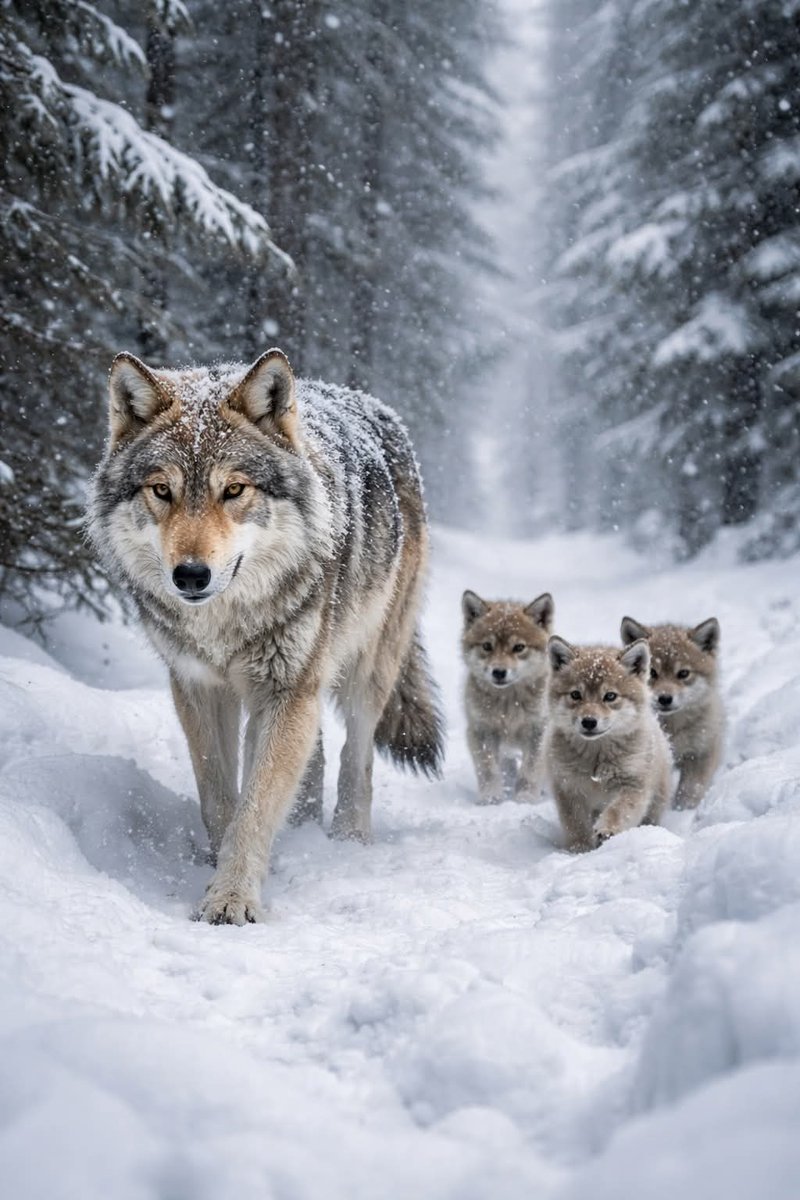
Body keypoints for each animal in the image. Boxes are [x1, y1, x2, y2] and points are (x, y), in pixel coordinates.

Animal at [89, 348, 443, 924]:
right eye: (162, 490)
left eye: (233, 489)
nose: (191, 576)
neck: (223, 627)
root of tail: (374, 405)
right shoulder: (198, 688)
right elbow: (218, 796)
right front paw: (219, 868)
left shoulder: (284, 690)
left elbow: (255, 806)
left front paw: (231, 899)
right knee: (316, 755)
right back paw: (299, 831)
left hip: (366, 666)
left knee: (357, 756)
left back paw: (347, 840)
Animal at [461, 591, 554, 804]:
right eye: (487, 646)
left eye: (519, 647)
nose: (499, 672)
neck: (509, 703)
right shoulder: (481, 730)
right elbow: (488, 769)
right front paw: (491, 796)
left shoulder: (539, 730)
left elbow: (530, 769)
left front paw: (525, 797)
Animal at [543, 637, 672, 851]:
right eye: (576, 694)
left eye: (610, 696)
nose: (588, 721)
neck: (597, 760)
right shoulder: (568, 788)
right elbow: (575, 824)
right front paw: (579, 850)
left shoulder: (632, 784)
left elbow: (618, 810)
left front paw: (607, 829)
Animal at [620, 616, 722, 810]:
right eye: (652, 673)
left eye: (683, 673)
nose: (665, 698)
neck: (672, 729)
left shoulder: (700, 751)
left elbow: (690, 790)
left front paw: (682, 810)